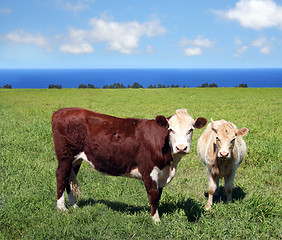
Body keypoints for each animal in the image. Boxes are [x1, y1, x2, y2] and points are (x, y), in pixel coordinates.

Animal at [52, 108, 207, 222]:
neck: (170, 164)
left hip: (75, 160)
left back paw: (74, 205)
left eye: (191, 129)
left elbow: (158, 195)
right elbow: (153, 195)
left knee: (68, 179)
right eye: (170, 129)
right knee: (61, 175)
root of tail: (61, 111)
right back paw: (61, 207)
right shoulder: (149, 170)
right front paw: (156, 220)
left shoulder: (162, 174)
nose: (181, 148)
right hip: (65, 156)